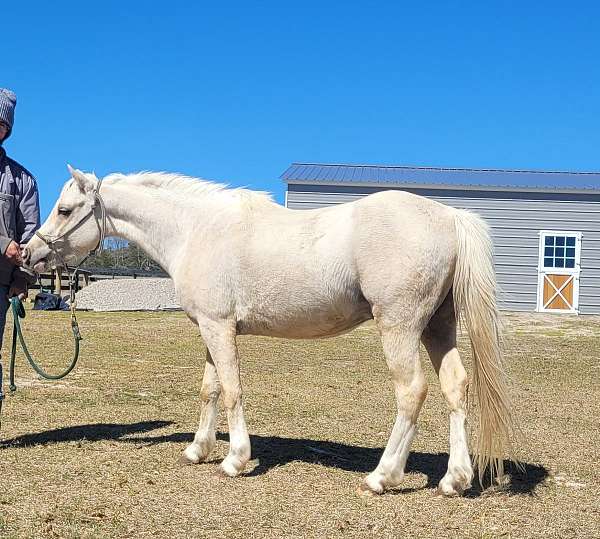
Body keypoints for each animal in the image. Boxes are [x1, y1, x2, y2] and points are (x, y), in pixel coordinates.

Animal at [25, 167, 516, 496]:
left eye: (64, 209)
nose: (29, 254)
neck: (196, 229)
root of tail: (449, 217)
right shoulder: (210, 329)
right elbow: (209, 390)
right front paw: (197, 450)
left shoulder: (220, 328)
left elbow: (232, 390)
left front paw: (234, 460)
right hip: (438, 327)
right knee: (455, 388)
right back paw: (455, 479)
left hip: (400, 327)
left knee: (412, 392)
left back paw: (382, 476)